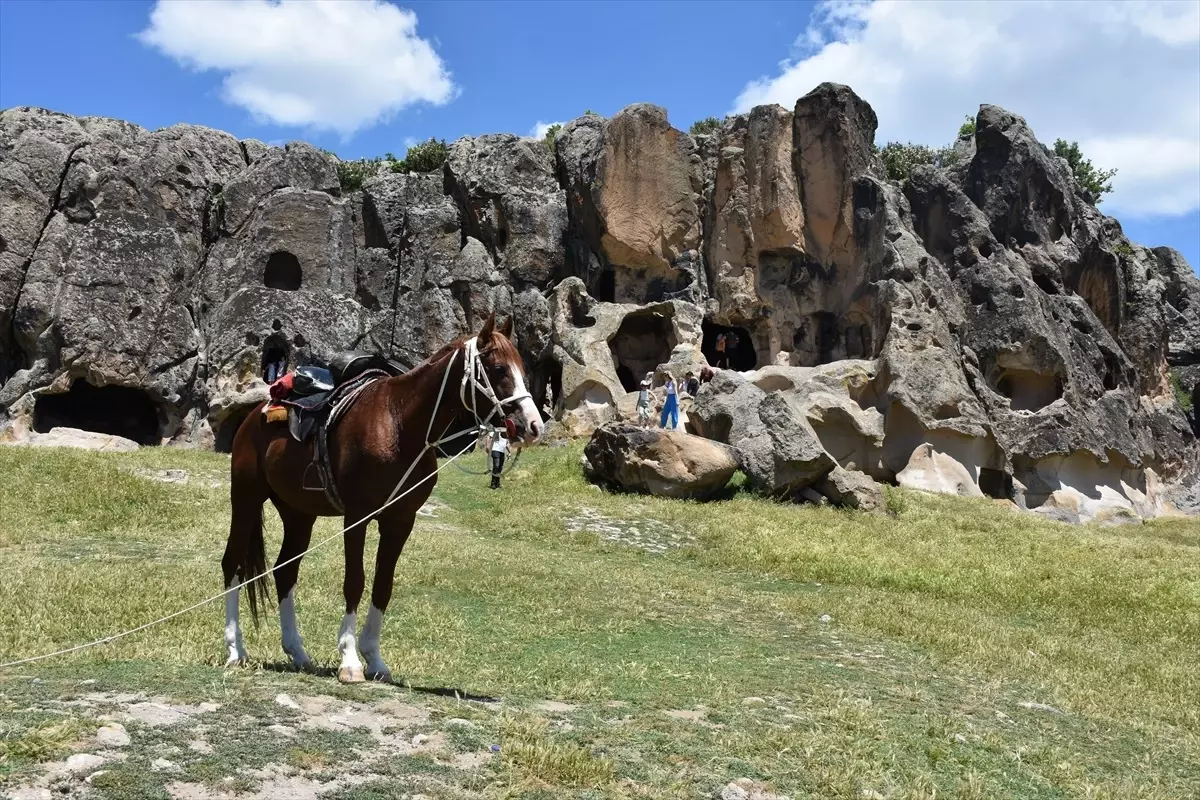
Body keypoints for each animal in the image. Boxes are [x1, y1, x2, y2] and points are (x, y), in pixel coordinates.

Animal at [222, 311, 544, 681]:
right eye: (499, 369)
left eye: (522, 370)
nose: (534, 426)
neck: (400, 425)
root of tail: (254, 414)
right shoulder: (356, 516)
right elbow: (355, 581)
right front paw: (349, 660)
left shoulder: (400, 520)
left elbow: (383, 586)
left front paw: (374, 658)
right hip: (246, 496)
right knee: (233, 563)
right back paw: (235, 650)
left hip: (298, 513)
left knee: (284, 572)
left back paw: (298, 652)